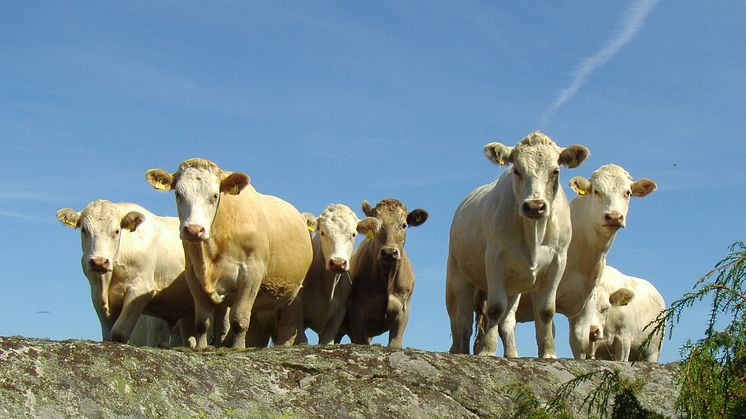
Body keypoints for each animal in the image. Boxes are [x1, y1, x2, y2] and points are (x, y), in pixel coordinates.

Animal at [56, 202, 195, 346]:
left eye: (117, 231)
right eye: (84, 230)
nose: (99, 262)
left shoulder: (140, 290)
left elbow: (118, 333)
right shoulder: (96, 294)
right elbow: (107, 334)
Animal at [145, 159, 310, 350]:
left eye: (215, 196)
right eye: (178, 194)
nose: (194, 230)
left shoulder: (251, 274)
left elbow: (239, 320)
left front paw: (237, 347)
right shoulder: (193, 276)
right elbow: (202, 322)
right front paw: (202, 347)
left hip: (295, 292)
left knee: (288, 328)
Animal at [346, 199, 428, 350]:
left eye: (404, 225)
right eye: (376, 225)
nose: (389, 252)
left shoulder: (402, 311)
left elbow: (395, 344)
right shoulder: (356, 311)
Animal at [442, 131, 588, 358]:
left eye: (555, 171)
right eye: (516, 170)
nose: (535, 206)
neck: (533, 232)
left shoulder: (558, 261)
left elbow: (546, 310)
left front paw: (548, 353)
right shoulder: (494, 258)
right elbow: (494, 308)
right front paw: (487, 350)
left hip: (513, 285)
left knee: (507, 321)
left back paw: (511, 354)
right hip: (458, 276)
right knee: (461, 320)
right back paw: (461, 351)